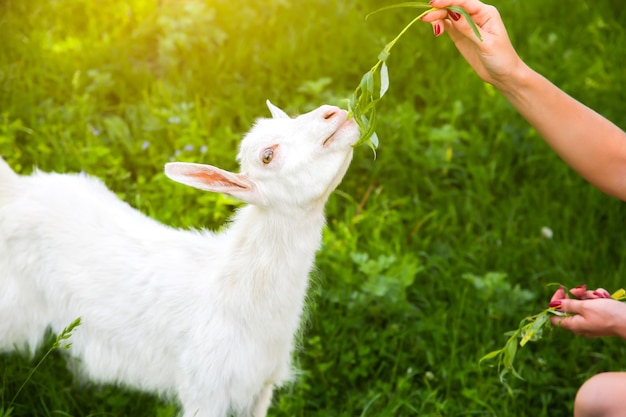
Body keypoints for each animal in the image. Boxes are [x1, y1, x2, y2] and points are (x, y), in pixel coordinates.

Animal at [0, 101, 356, 416]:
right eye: (267, 156)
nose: (334, 112)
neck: (231, 291)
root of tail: (18, 189)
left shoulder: (261, 386)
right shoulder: (203, 389)